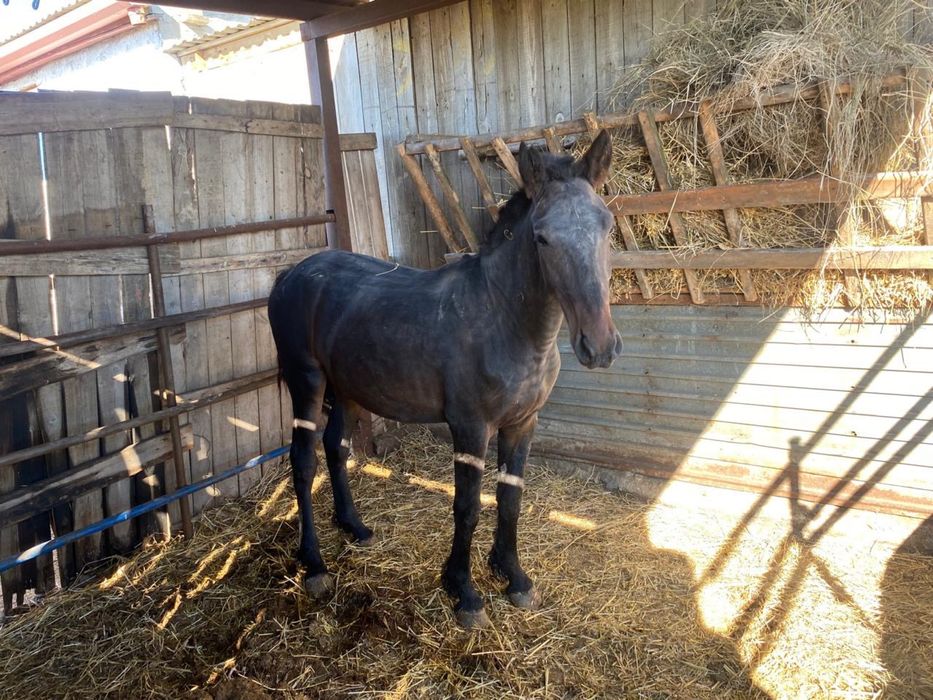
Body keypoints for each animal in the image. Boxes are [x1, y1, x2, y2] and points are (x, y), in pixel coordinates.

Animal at [267, 130, 622, 627]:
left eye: (607, 226)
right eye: (542, 237)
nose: (600, 346)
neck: (503, 321)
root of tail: (292, 273)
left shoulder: (522, 424)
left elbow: (510, 499)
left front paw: (513, 576)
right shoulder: (470, 429)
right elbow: (467, 507)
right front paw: (464, 591)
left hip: (349, 387)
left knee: (337, 448)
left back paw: (354, 526)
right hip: (307, 383)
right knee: (302, 462)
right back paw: (315, 564)